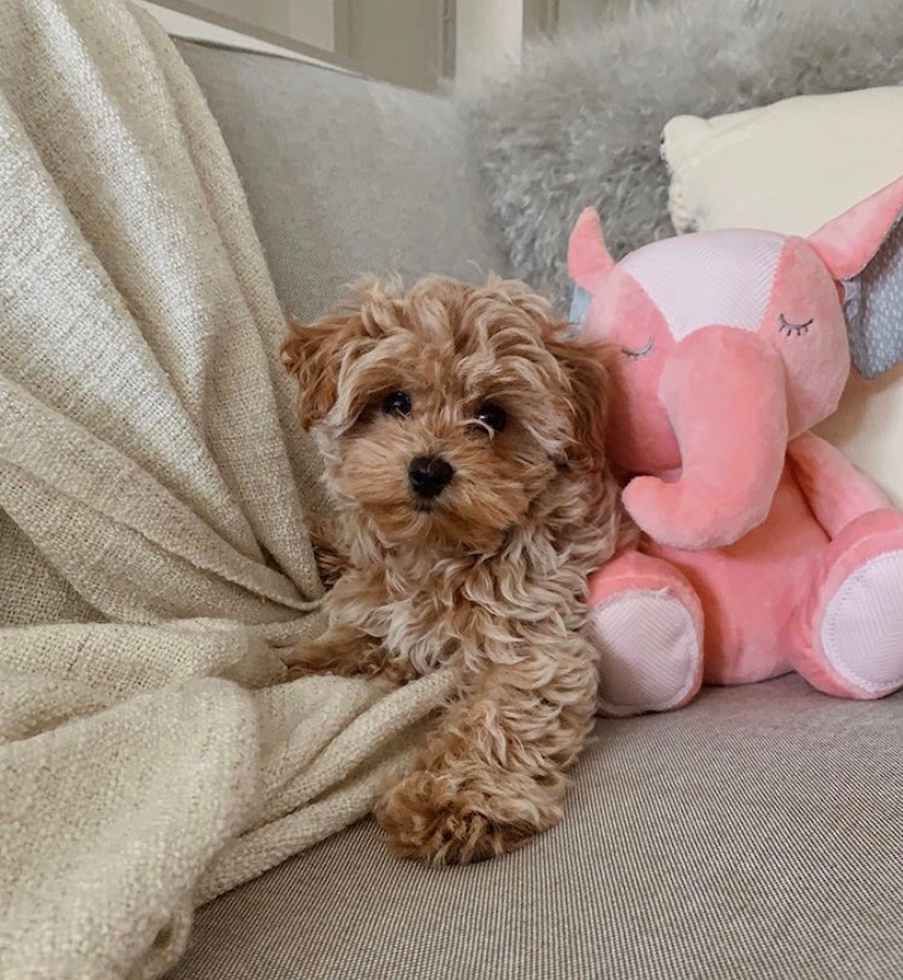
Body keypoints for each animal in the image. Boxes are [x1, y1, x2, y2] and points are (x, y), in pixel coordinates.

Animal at [282, 278, 628, 864]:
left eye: (492, 417)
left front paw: (456, 800)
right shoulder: (385, 613)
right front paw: (295, 665)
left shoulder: (534, 634)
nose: (428, 469)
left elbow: (502, 715)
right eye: (396, 402)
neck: (438, 552)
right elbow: (353, 638)